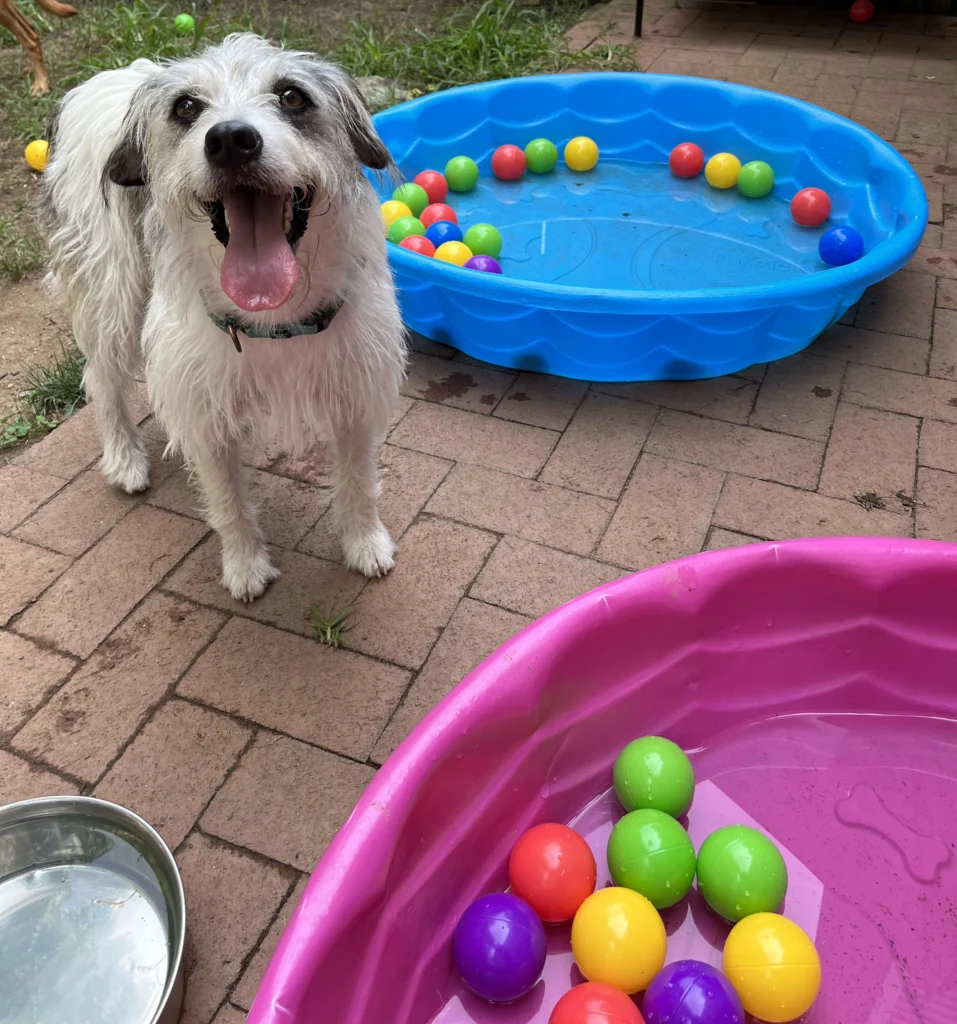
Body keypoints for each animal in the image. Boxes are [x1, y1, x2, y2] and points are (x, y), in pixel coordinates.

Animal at [40, 34, 407, 598]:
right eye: (187, 107)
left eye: (292, 96)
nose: (232, 139)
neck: (277, 315)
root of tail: (119, 76)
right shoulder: (203, 408)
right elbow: (226, 498)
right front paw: (245, 566)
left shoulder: (357, 391)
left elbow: (359, 479)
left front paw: (365, 545)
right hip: (111, 298)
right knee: (101, 379)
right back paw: (124, 460)